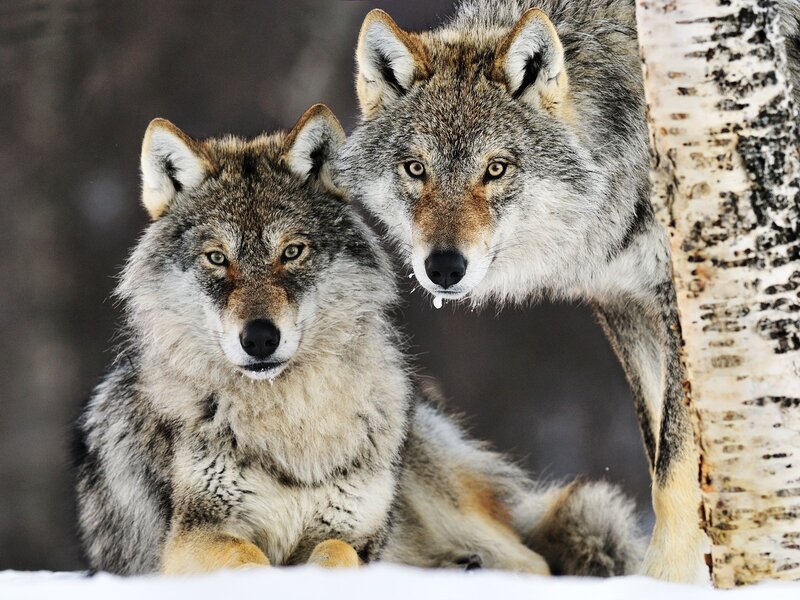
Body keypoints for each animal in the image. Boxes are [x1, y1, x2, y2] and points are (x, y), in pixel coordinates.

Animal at [73, 104, 642, 576]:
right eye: (217, 258)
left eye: (292, 251)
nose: (259, 338)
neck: (292, 422)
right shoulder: (193, 538)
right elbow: (248, 558)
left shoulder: (352, 532)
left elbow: (334, 554)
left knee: (535, 563)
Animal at [336, 0, 800, 583]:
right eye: (416, 169)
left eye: (496, 169)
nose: (443, 267)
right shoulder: (626, 304)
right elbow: (658, 454)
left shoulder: (679, 305)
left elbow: (673, 469)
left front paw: (665, 581)